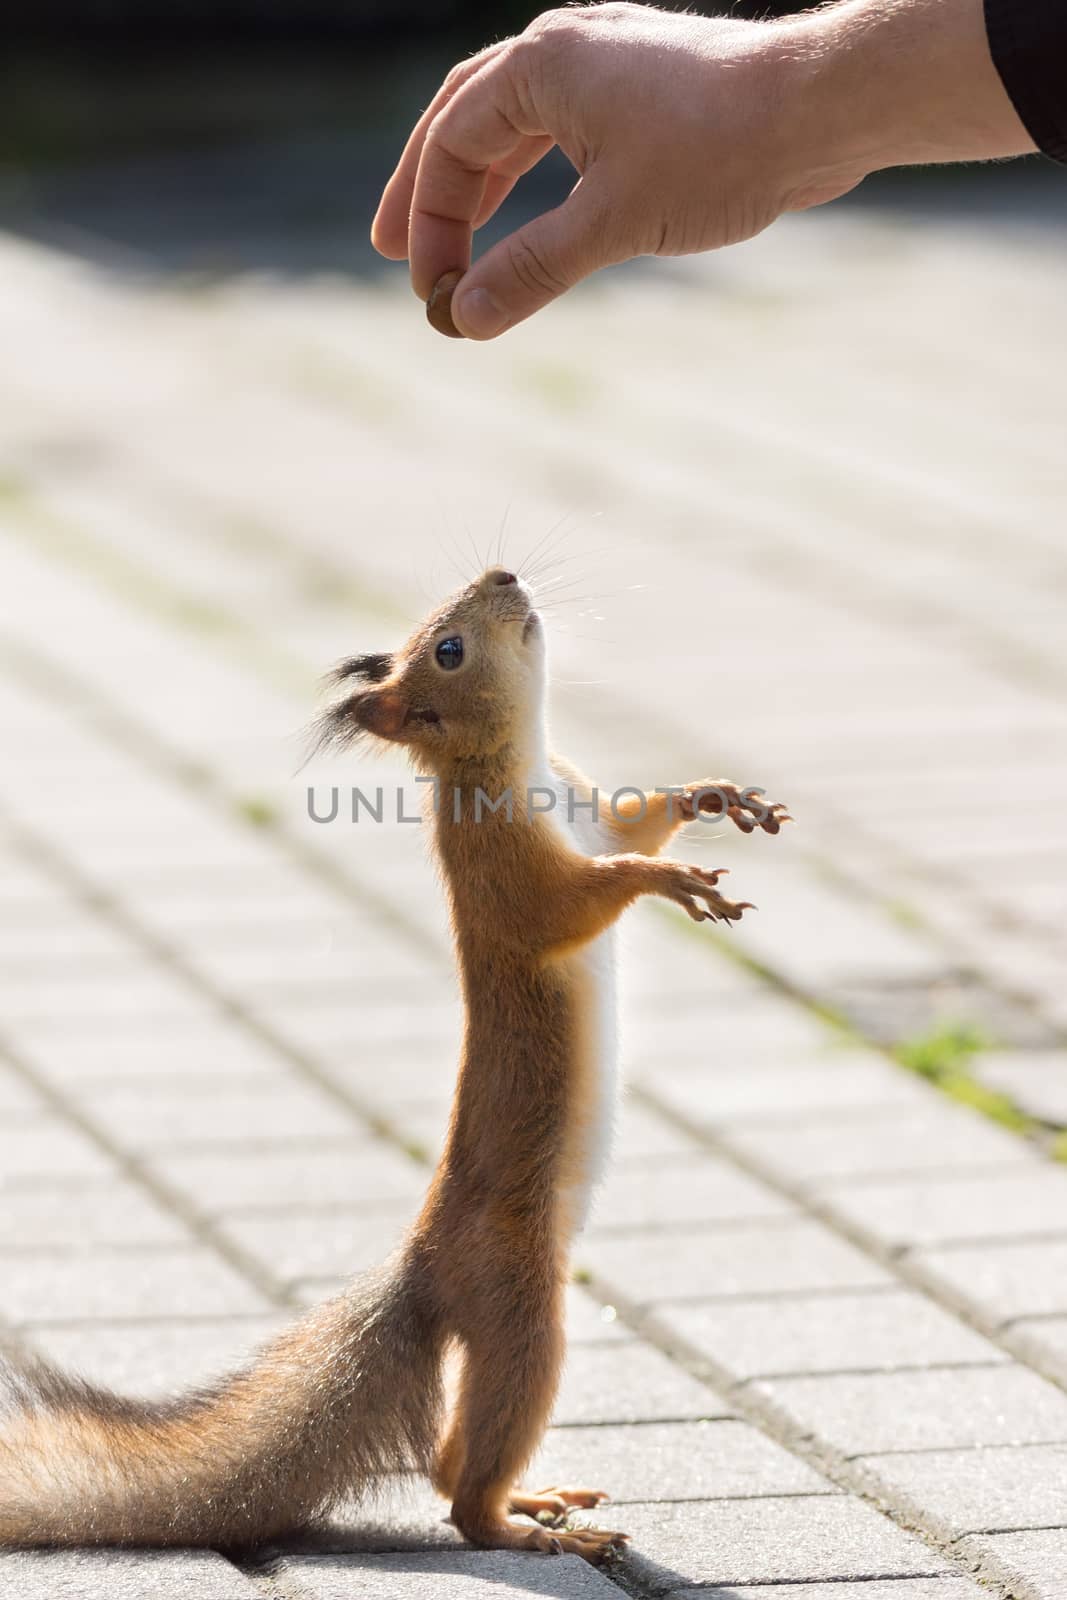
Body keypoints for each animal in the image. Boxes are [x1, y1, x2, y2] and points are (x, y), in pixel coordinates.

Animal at [0, 566, 783, 1561]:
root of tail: (426, 1263)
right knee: (467, 1488)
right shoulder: (501, 868)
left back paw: (537, 1500)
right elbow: (571, 903)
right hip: (521, 1311)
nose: (503, 577)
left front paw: (712, 796)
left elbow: (632, 827)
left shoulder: (590, 809)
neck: (522, 762)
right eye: (447, 651)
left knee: (451, 1465)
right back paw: (524, 1530)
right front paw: (667, 883)